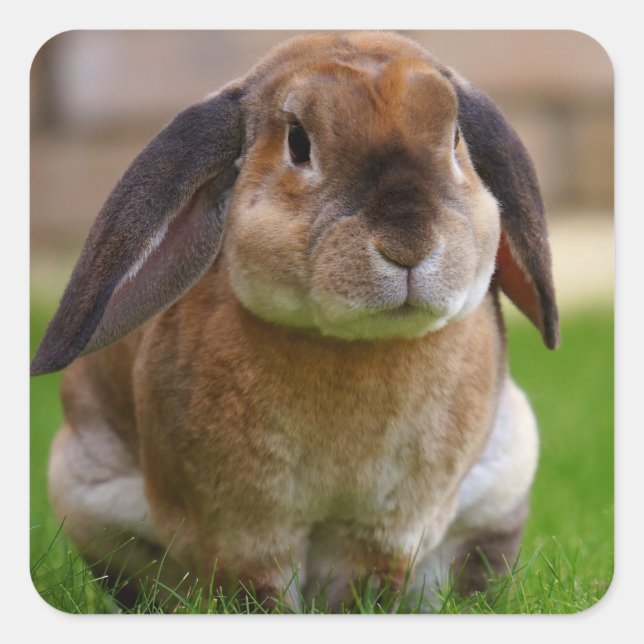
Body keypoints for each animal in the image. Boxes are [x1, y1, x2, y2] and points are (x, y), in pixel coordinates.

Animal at [31, 31, 559, 611]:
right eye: (299, 143)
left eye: (456, 137)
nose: (408, 244)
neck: (353, 346)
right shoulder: (244, 529)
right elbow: (258, 589)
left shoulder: (386, 530)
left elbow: (364, 587)